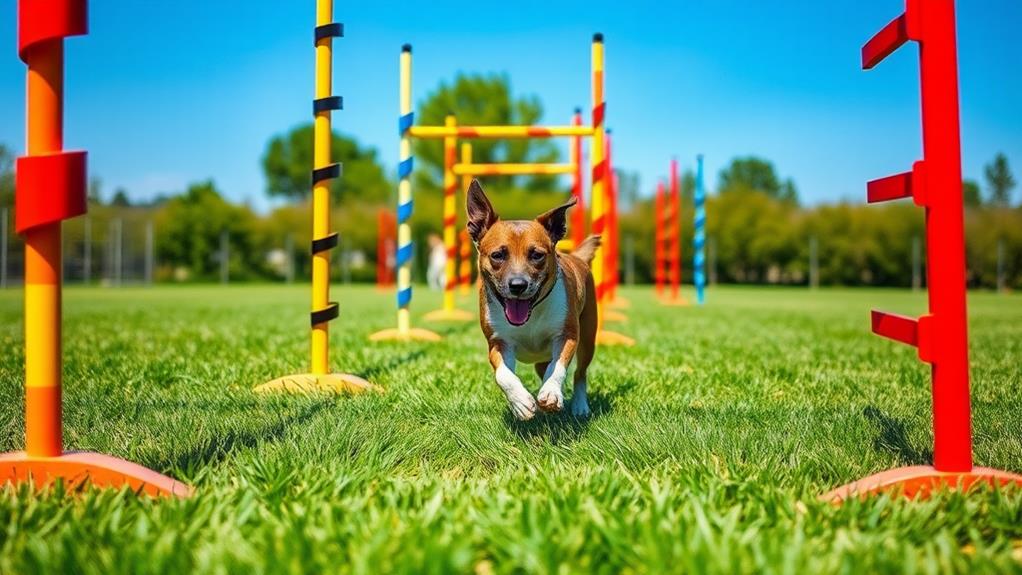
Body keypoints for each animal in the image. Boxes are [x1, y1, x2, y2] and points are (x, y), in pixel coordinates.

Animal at [466, 177, 596, 420]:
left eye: (537, 255)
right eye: (498, 255)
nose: (518, 285)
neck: (531, 312)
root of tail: (578, 258)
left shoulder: (568, 335)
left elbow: (558, 366)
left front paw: (551, 391)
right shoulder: (498, 342)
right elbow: (503, 375)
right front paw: (520, 402)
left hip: (588, 341)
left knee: (580, 372)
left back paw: (579, 405)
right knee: (543, 367)